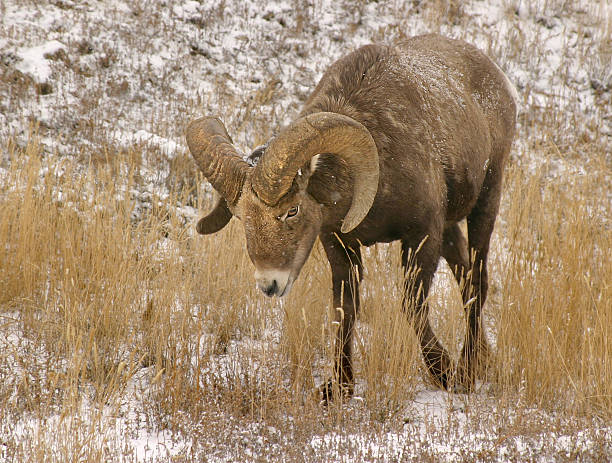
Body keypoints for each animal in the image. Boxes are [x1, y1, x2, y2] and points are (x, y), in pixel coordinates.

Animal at [185, 34, 516, 400]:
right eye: (241, 217)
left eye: (292, 210)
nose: (269, 285)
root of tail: (496, 75)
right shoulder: (340, 243)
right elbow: (345, 309)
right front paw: (338, 387)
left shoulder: (421, 235)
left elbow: (413, 305)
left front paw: (443, 371)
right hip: (450, 229)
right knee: (465, 275)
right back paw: (483, 361)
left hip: (486, 199)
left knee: (477, 281)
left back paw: (469, 372)